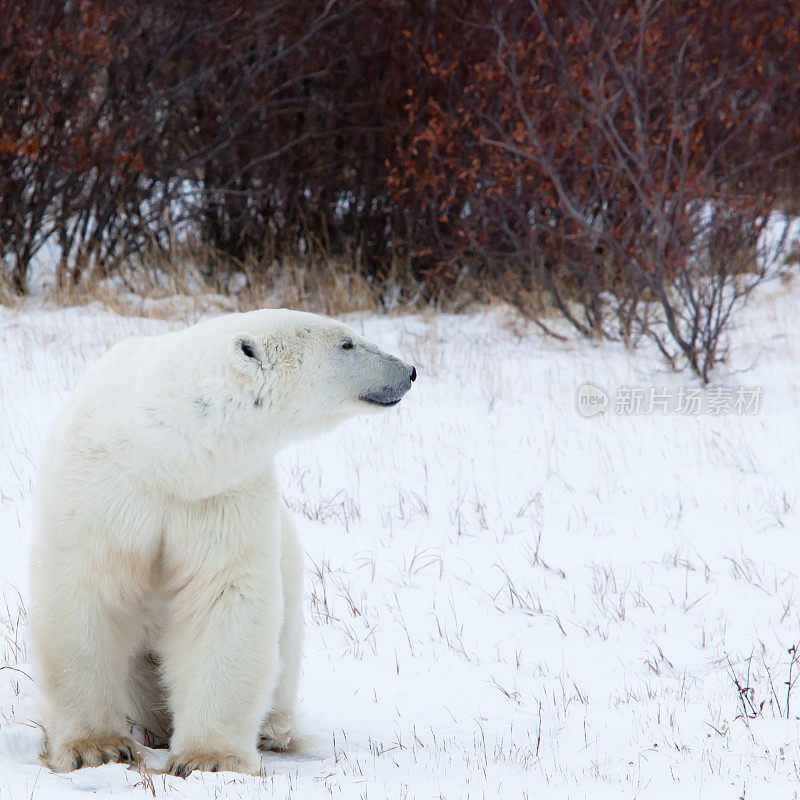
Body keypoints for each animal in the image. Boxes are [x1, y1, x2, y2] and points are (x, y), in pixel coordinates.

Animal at [28, 308, 416, 776]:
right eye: (347, 343)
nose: (409, 371)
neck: (163, 453)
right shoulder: (100, 489)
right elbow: (83, 592)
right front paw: (96, 748)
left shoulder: (223, 497)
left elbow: (223, 599)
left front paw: (210, 759)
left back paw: (272, 730)